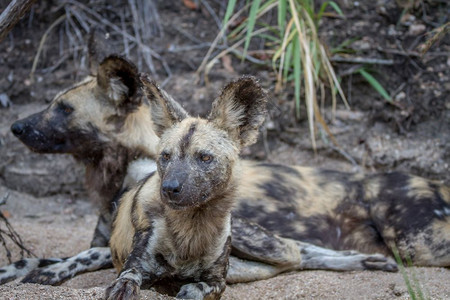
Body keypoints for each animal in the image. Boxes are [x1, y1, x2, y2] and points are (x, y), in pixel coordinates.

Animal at [1, 54, 448, 286]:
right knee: (304, 253)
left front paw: (56, 271)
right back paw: (368, 262)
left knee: (299, 252)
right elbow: (35, 258)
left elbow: (82, 255)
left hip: (412, 242)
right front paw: (17, 269)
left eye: (63, 109)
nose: (15, 126)